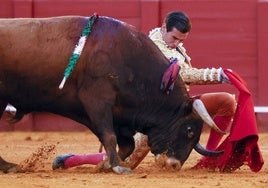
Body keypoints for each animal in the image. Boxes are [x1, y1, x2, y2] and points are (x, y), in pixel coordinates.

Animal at [0, 15, 223, 174]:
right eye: (189, 130)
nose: (174, 165)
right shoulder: (97, 102)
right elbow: (110, 136)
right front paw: (116, 167)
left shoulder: (120, 116)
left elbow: (127, 145)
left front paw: (105, 165)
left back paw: (10, 166)